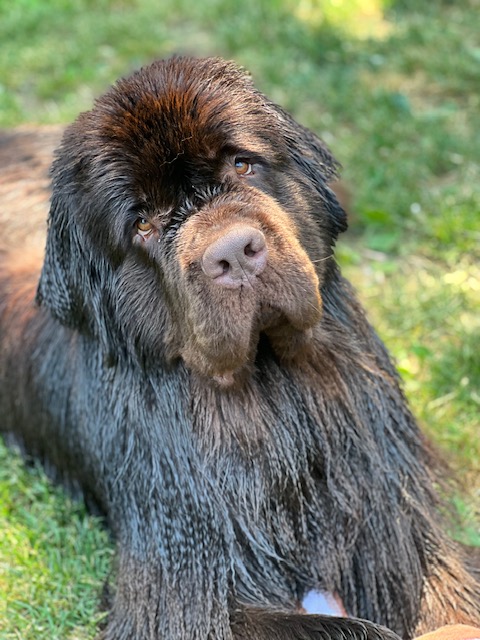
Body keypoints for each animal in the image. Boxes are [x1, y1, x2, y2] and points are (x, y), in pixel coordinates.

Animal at [0, 56, 478, 640]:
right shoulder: (187, 588)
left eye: (243, 165)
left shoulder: (390, 513)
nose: (233, 251)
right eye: (142, 223)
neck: (271, 387)